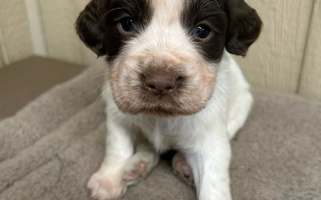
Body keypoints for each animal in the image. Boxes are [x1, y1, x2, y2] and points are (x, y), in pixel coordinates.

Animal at [76, 0, 262, 199]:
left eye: (202, 30)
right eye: (126, 24)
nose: (160, 83)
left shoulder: (211, 138)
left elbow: (213, 182)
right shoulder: (116, 113)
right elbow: (118, 146)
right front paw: (108, 179)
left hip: (242, 105)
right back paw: (139, 165)